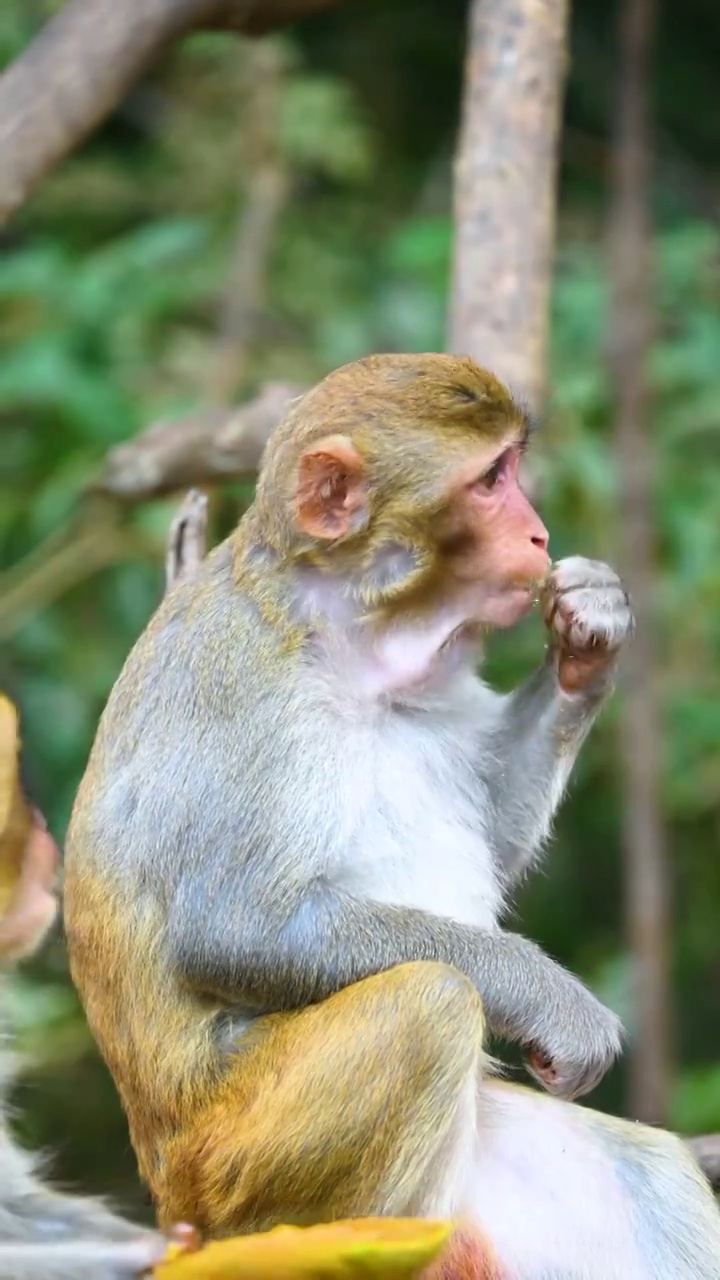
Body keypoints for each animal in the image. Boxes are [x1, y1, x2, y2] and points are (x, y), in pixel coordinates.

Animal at [61, 353, 717, 1280]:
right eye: (490, 480)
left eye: (512, 467)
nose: (539, 536)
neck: (347, 635)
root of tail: (172, 1202)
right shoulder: (244, 688)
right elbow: (236, 928)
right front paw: (550, 1000)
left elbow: (492, 827)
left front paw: (591, 630)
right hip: (230, 1172)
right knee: (428, 1004)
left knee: (648, 1163)